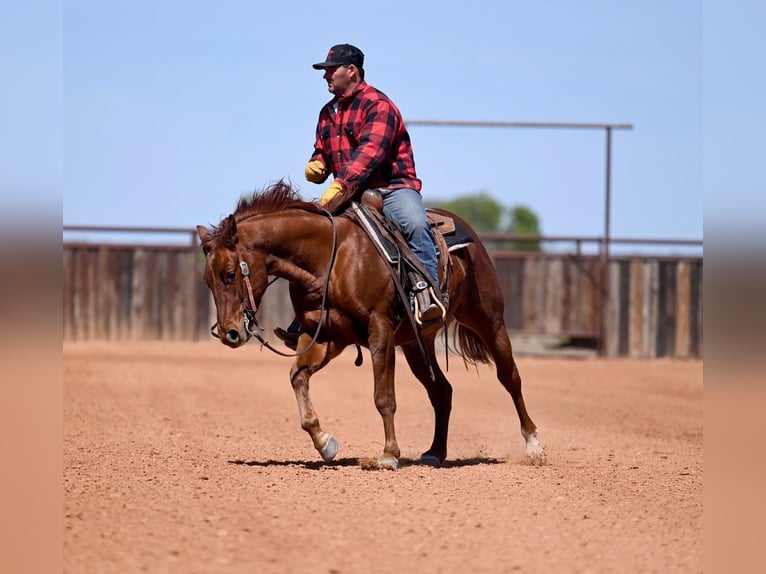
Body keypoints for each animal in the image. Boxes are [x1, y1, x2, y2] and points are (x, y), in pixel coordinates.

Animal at [197, 181, 543, 469]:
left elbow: (383, 397)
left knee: (510, 377)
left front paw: (388, 455)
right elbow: (298, 377)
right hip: (416, 344)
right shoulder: (326, 337)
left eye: (230, 274)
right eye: (208, 280)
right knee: (441, 390)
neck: (331, 257)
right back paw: (435, 452)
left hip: (488, 319)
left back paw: (533, 444)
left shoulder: (380, 330)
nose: (229, 333)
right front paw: (326, 443)